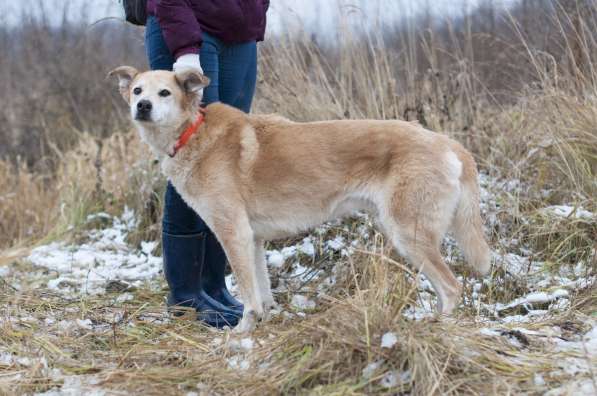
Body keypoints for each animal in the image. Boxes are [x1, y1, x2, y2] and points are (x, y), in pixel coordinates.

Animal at [109, 66, 492, 332]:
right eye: (138, 90)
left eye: (164, 93)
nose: (142, 105)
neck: (193, 133)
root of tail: (447, 142)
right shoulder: (253, 239)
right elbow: (262, 290)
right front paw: (265, 322)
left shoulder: (233, 234)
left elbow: (248, 294)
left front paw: (241, 332)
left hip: (408, 234)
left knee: (452, 287)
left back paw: (437, 328)